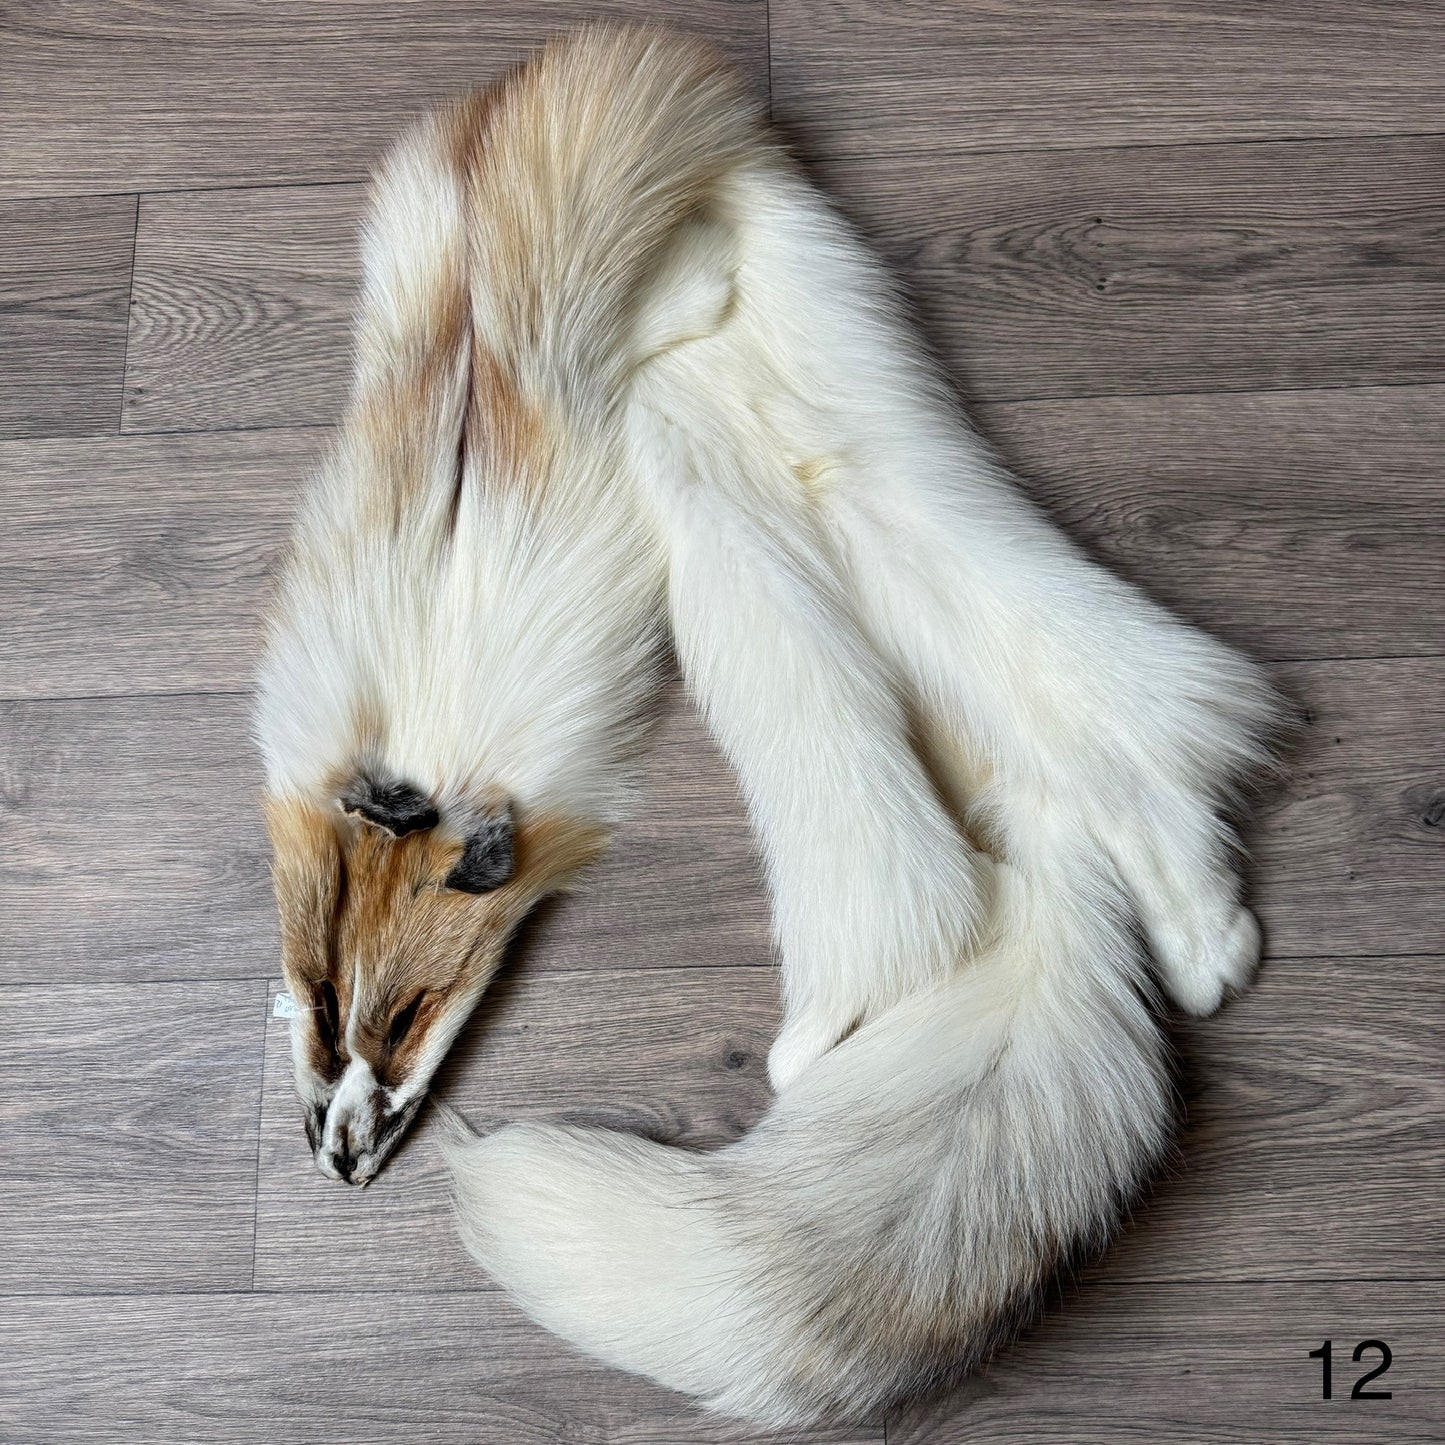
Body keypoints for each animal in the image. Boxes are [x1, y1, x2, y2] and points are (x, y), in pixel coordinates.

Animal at [256, 26, 1279, 1427]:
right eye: (317, 999)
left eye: (410, 1014)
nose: (341, 1164)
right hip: (841, 593)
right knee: (1110, 779)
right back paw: (1203, 944)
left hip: (853, 542)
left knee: (1062, 800)